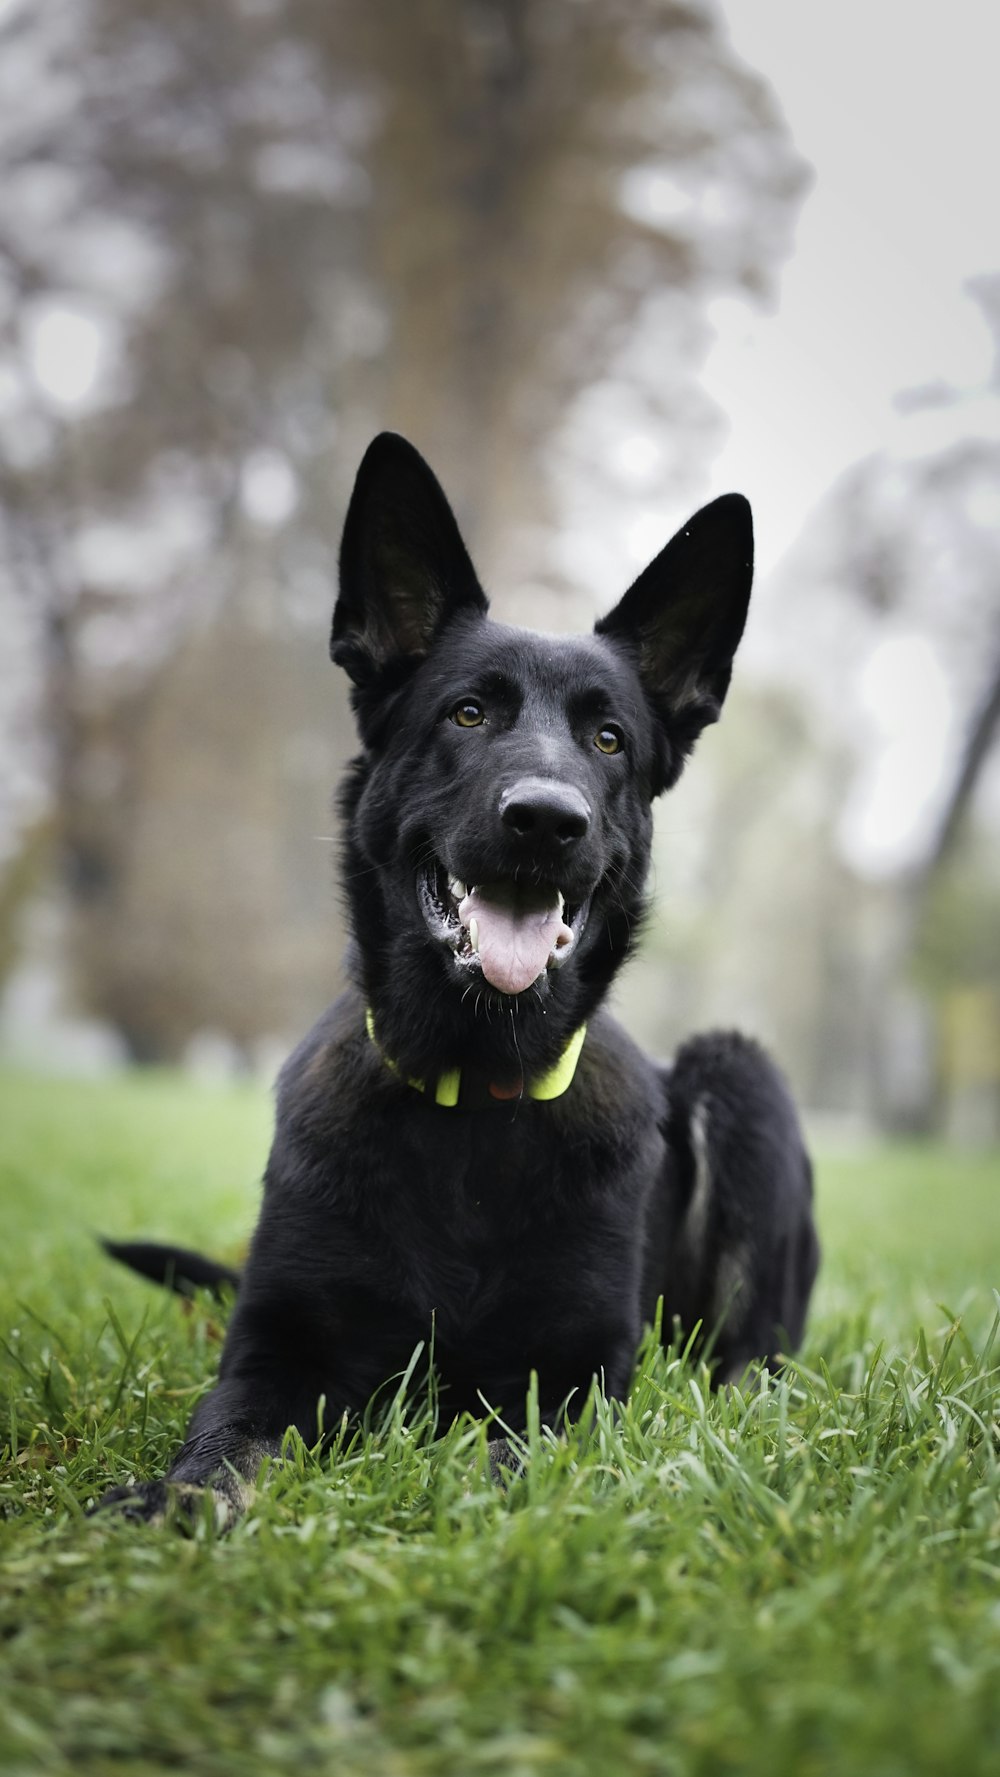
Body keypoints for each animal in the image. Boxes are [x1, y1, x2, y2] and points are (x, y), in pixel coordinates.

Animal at [99, 437, 820, 1521]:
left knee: (747, 1372)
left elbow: (509, 1460)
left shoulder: (573, 1380)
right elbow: (228, 1438)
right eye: (468, 712)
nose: (546, 820)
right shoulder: (274, 1349)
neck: (472, 1091)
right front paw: (181, 1504)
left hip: (742, 1079)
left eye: (609, 739)